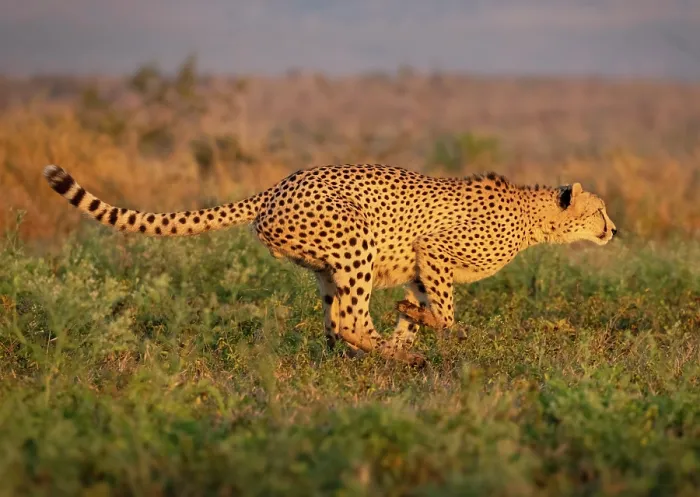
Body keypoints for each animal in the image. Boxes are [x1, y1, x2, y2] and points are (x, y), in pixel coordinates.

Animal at [43, 163, 617, 367]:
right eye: (600, 211)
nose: (614, 230)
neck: (534, 214)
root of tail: (280, 183)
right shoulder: (434, 252)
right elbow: (446, 314)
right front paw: (424, 329)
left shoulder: (421, 266)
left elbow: (421, 306)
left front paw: (408, 325)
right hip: (356, 241)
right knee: (349, 319)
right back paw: (398, 357)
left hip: (328, 265)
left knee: (340, 320)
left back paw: (388, 354)